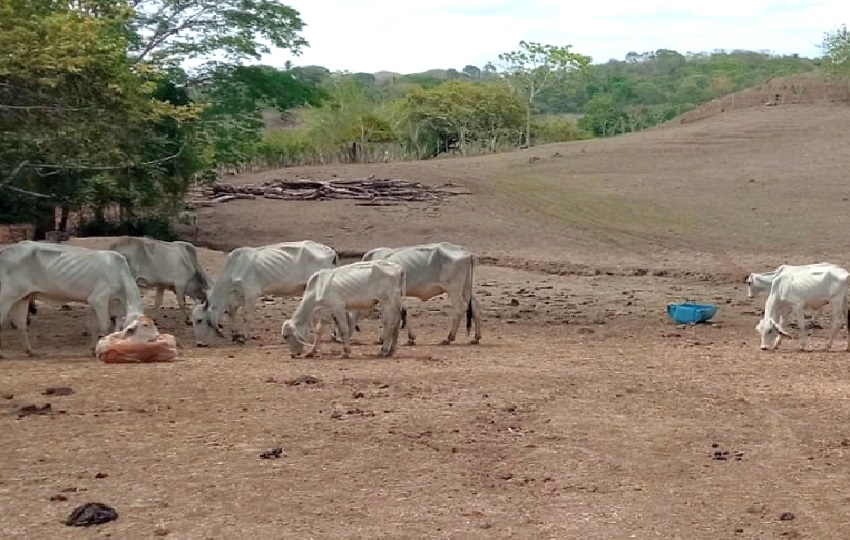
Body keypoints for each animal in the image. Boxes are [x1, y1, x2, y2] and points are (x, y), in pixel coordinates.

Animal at [0, 242, 143, 358]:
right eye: (131, 331)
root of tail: (6, 249)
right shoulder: (99, 299)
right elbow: (105, 325)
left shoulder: (93, 302)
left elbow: (93, 326)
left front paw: (93, 348)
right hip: (6, 297)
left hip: (23, 297)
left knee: (21, 325)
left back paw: (30, 351)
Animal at [192, 239, 338, 346]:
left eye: (199, 320)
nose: (199, 343)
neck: (234, 269)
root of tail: (330, 251)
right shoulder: (236, 298)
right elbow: (232, 314)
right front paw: (234, 334)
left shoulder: (251, 293)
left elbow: (247, 317)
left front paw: (244, 337)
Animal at [346, 242, 480, 346]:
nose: (339, 338)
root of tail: (466, 252)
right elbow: (405, 313)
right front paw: (410, 338)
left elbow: (389, 316)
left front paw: (383, 338)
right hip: (466, 288)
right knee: (475, 306)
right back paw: (476, 337)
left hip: (454, 289)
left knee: (459, 309)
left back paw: (449, 338)